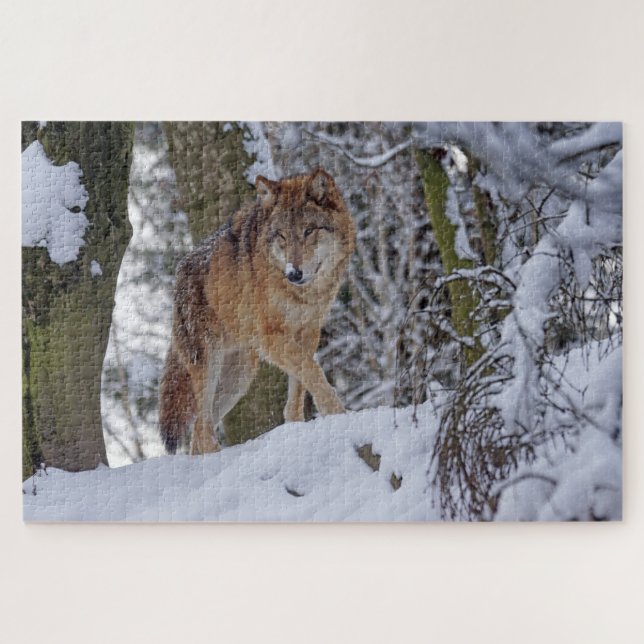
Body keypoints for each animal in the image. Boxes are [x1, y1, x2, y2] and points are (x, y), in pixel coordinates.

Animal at [159, 169, 356, 455]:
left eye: (309, 231)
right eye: (282, 236)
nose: (293, 273)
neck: (304, 295)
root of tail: (179, 272)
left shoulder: (308, 332)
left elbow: (300, 385)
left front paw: (296, 426)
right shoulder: (271, 337)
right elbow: (312, 371)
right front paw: (337, 412)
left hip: (240, 376)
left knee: (198, 430)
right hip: (209, 365)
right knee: (203, 426)